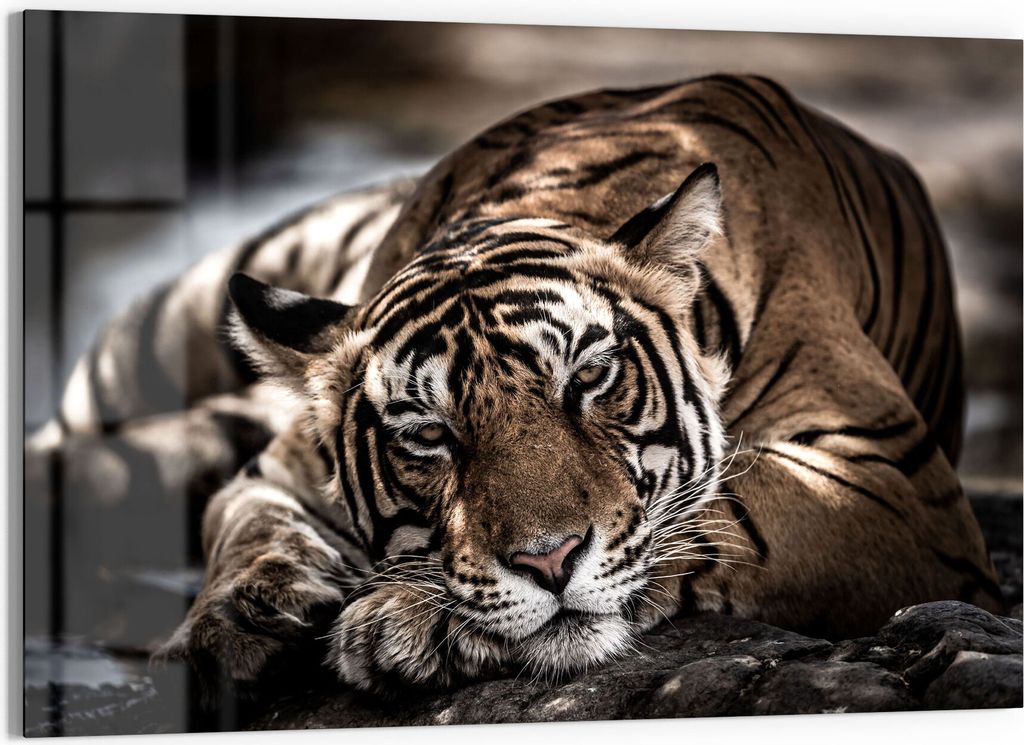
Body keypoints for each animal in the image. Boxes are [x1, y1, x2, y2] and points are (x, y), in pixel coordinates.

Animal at [30, 74, 1002, 698]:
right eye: (427, 433)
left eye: (592, 377)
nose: (548, 559)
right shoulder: (275, 470)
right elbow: (244, 527)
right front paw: (237, 620)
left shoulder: (892, 477)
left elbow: (730, 508)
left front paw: (411, 621)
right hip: (167, 327)